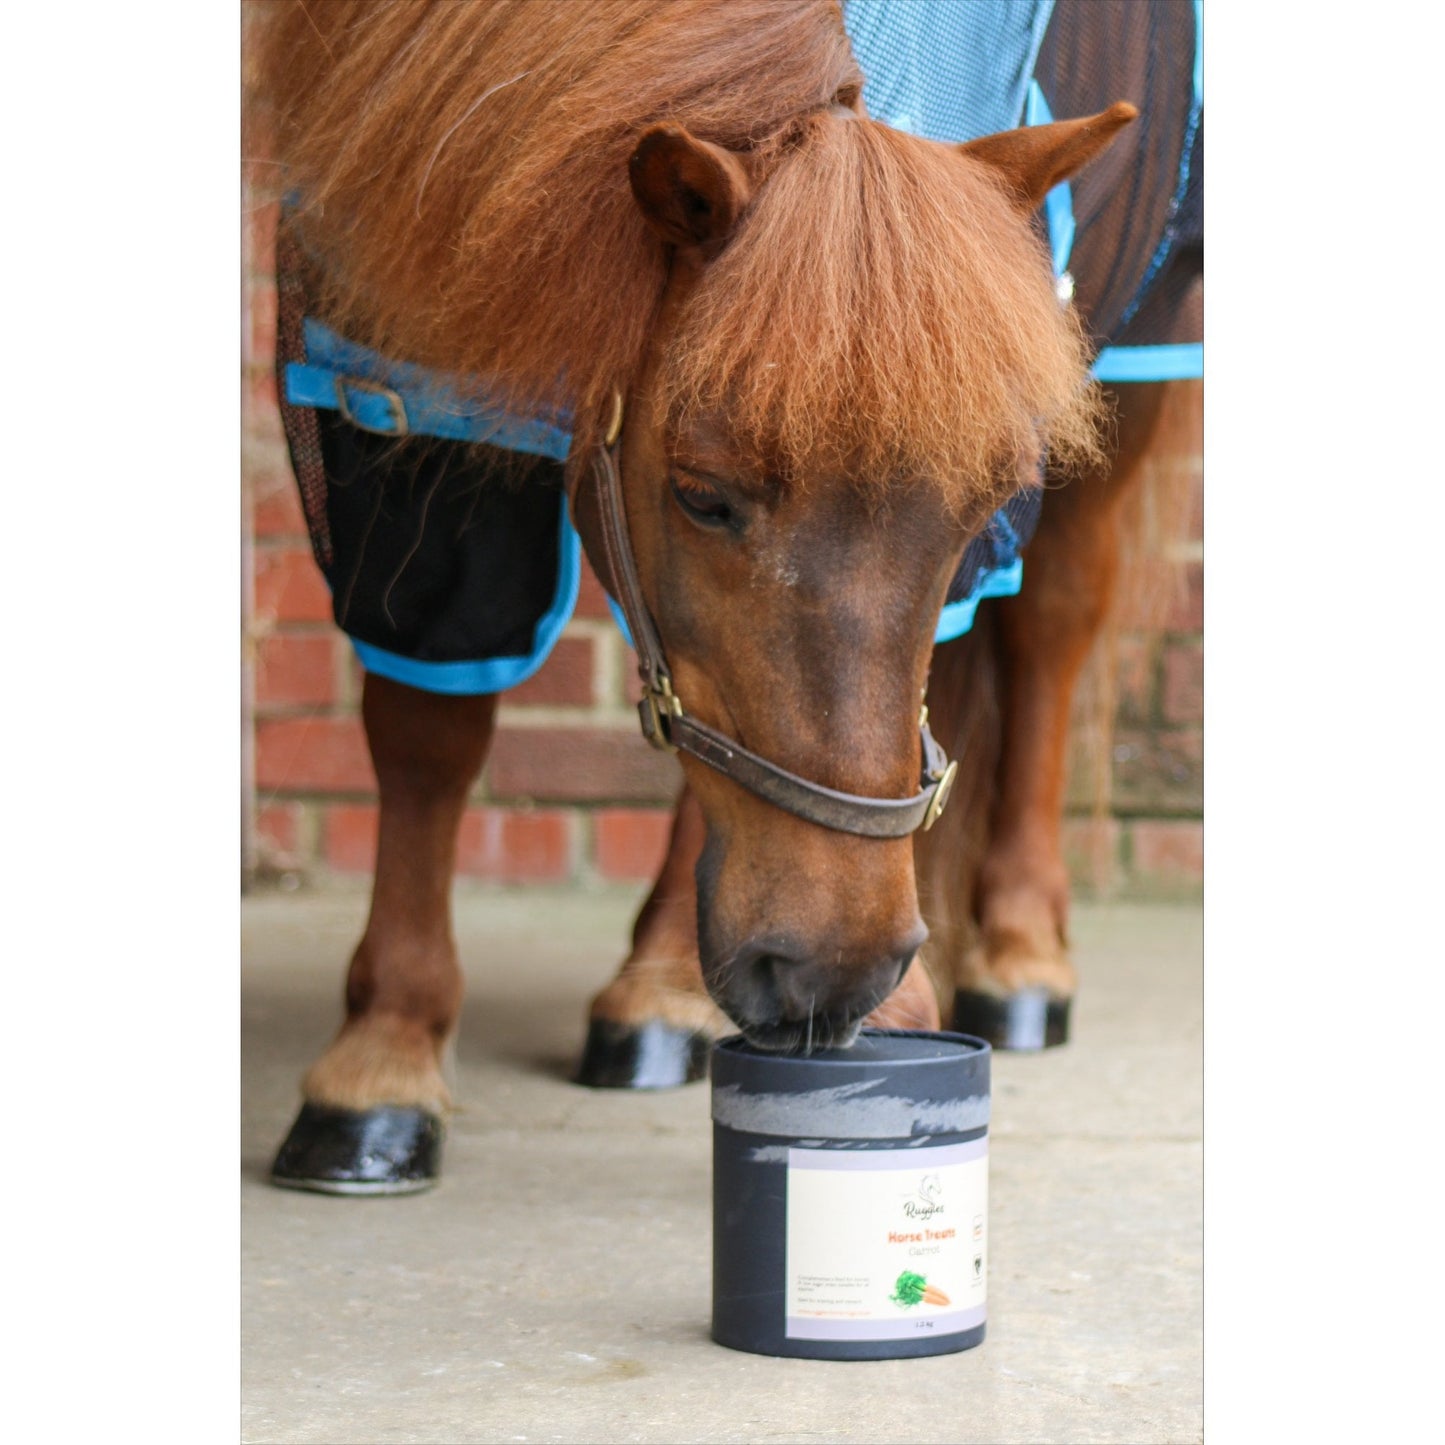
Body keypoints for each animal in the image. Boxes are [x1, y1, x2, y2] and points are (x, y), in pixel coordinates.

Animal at [246, 0, 1202, 1193]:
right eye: (703, 496)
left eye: (986, 500)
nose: (840, 971)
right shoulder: (385, 377)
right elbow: (426, 726)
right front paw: (381, 1061)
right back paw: (660, 986)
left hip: (1141, 332)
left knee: (1051, 627)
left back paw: (1019, 956)